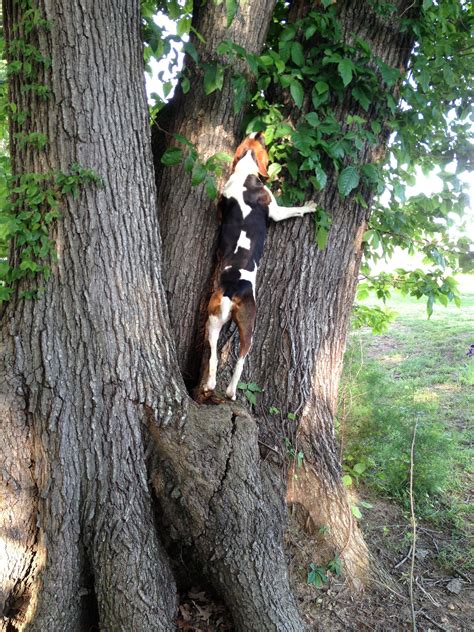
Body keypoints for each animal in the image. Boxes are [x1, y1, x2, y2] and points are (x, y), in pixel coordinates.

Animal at [203, 133, 316, 400]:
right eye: (260, 143)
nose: (258, 133)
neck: (244, 174)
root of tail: (231, 288)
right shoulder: (276, 211)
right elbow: (293, 210)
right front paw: (309, 207)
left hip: (213, 320)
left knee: (212, 356)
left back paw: (210, 384)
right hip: (249, 325)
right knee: (240, 360)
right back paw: (231, 391)